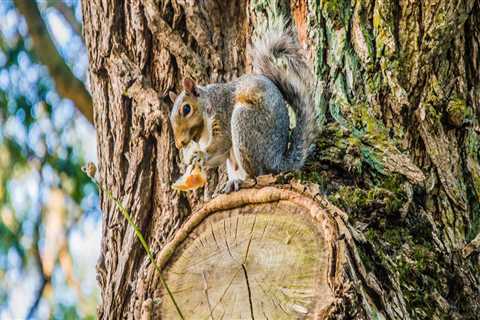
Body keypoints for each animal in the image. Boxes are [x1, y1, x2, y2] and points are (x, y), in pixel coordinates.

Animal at [169, 20, 316, 192]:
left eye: (186, 109)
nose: (179, 144)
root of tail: (276, 162)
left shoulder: (222, 113)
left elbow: (222, 142)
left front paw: (200, 155)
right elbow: (219, 156)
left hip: (244, 122)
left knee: (257, 174)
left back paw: (241, 180)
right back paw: (232, 182)